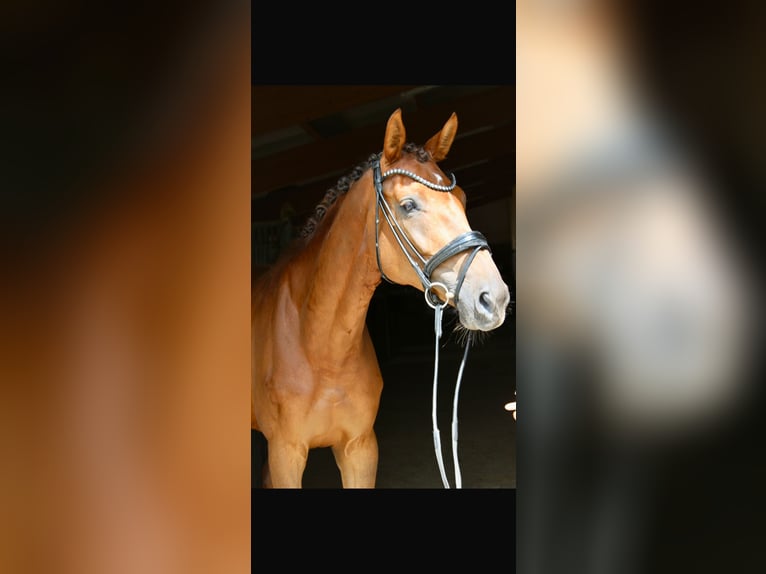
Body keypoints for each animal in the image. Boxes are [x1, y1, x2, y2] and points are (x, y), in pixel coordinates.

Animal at [251, 108, 511, 488]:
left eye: (462, 199)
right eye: (408, 205)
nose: (493, 298)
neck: (319, 345)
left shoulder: (360, 449)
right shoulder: (286, 452)